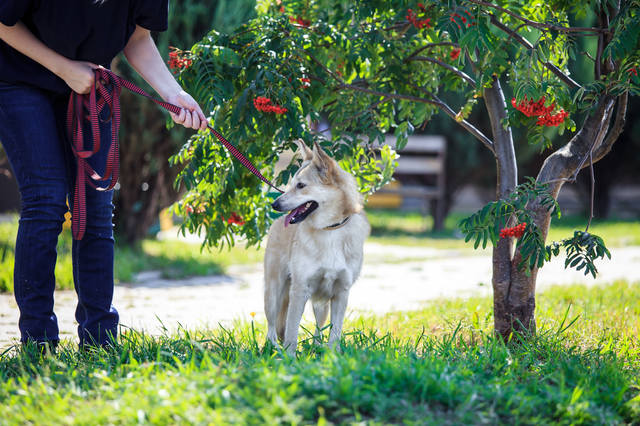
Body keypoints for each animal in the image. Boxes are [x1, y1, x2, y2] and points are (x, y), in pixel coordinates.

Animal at [264, 139, 370, 352]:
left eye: (301, 186)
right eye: (291, 185)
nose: (275, 205)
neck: (330, 230)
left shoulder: (341, 293)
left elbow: (335, 332)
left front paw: (332, 356)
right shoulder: (299, 290)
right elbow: (292, 331)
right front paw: (289, 356)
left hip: (321, 303)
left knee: (319, 327)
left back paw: (316, 347)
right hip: (273, 292)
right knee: (271, 326)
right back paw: (273, 349)